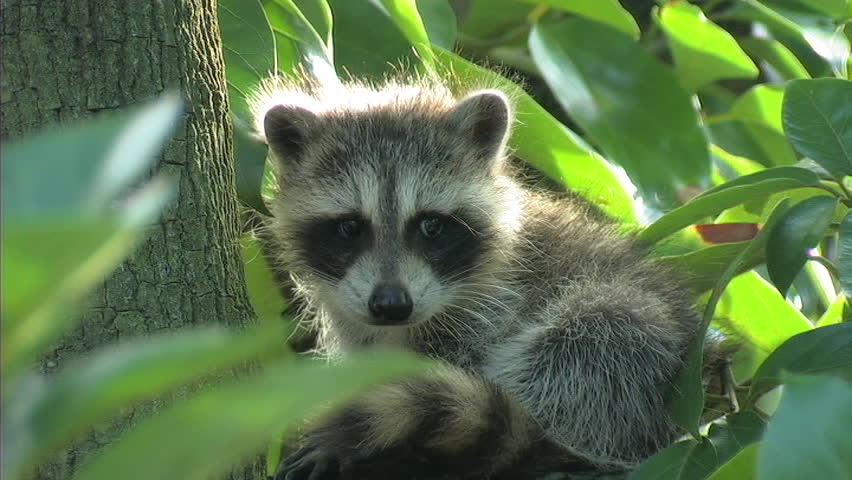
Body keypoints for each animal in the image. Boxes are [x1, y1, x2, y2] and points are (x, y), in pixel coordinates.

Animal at [253, 75, 704, 480]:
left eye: (431, 226)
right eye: (350, 227)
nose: (391, 304)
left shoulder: (496, 306)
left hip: (628, 344)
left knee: (595, 335)